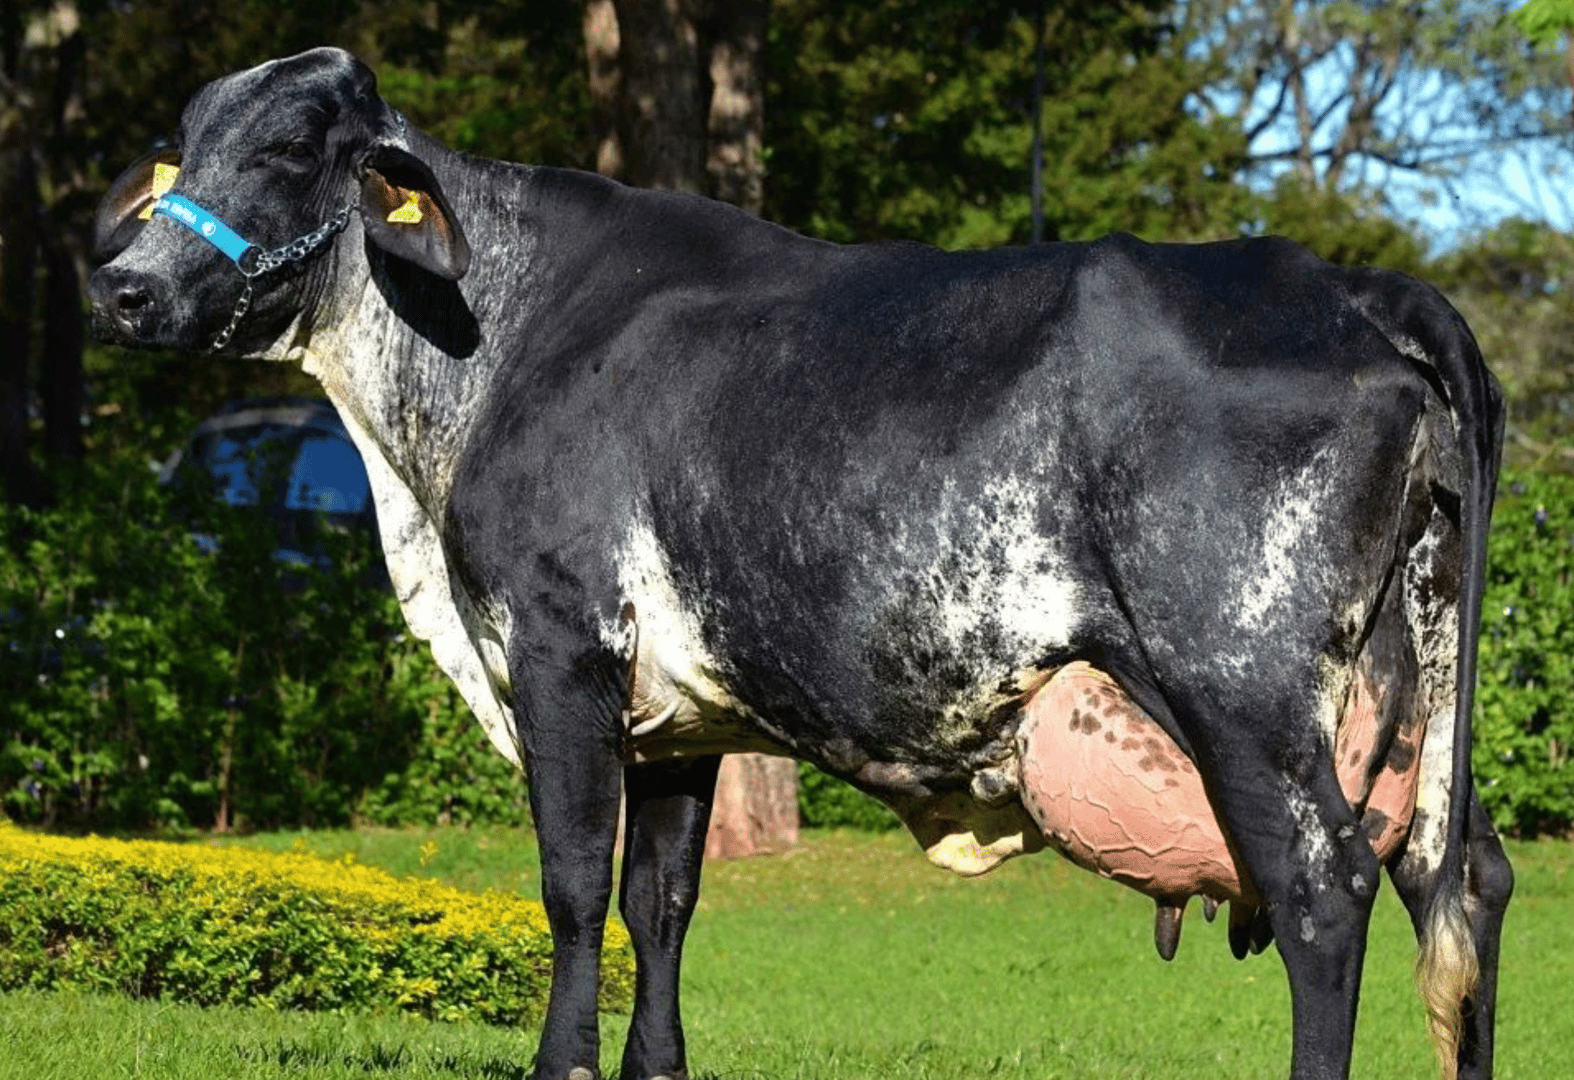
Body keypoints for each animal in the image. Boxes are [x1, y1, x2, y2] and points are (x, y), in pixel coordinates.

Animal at [88, 47, 1510, 1080]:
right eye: (184, 146)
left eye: (287, 149)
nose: (120, 288)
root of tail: (1345, 284)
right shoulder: (675, 720)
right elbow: (658, 903)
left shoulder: (556, 653)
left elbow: (569, 888)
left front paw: (561, 1065)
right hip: (1416, 701)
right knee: (1459, 878)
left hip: (1239, 690)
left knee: (1326, 892)